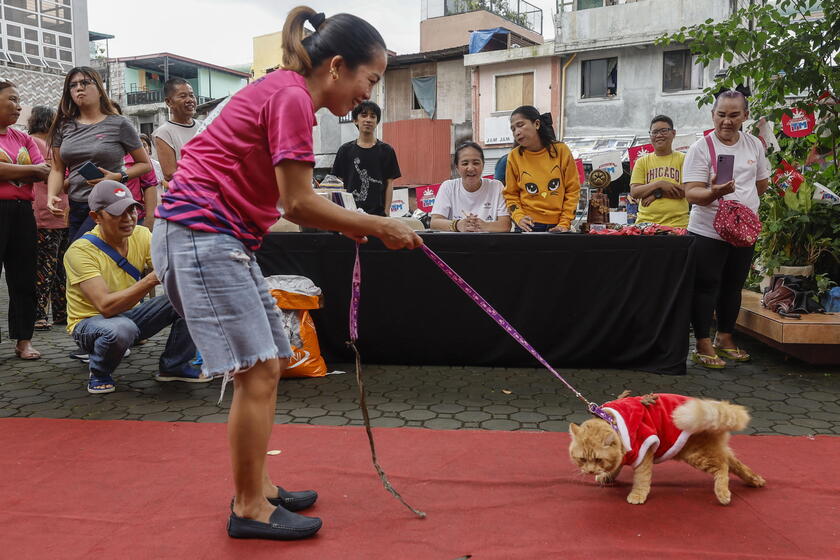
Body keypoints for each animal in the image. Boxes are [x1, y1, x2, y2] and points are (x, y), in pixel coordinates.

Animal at [568, 392, 764, 506]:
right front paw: (607, 476)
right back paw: (755, 480)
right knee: (735, 463)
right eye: (582, 459)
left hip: (697, 455)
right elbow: (616, 467)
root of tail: (711, 405)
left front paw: (637, 495)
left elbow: (641, 479)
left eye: (598, 459)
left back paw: (723, 493)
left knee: (723, 467)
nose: (590, 471)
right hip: (709, 450)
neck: (612, 421)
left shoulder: (644, 450)